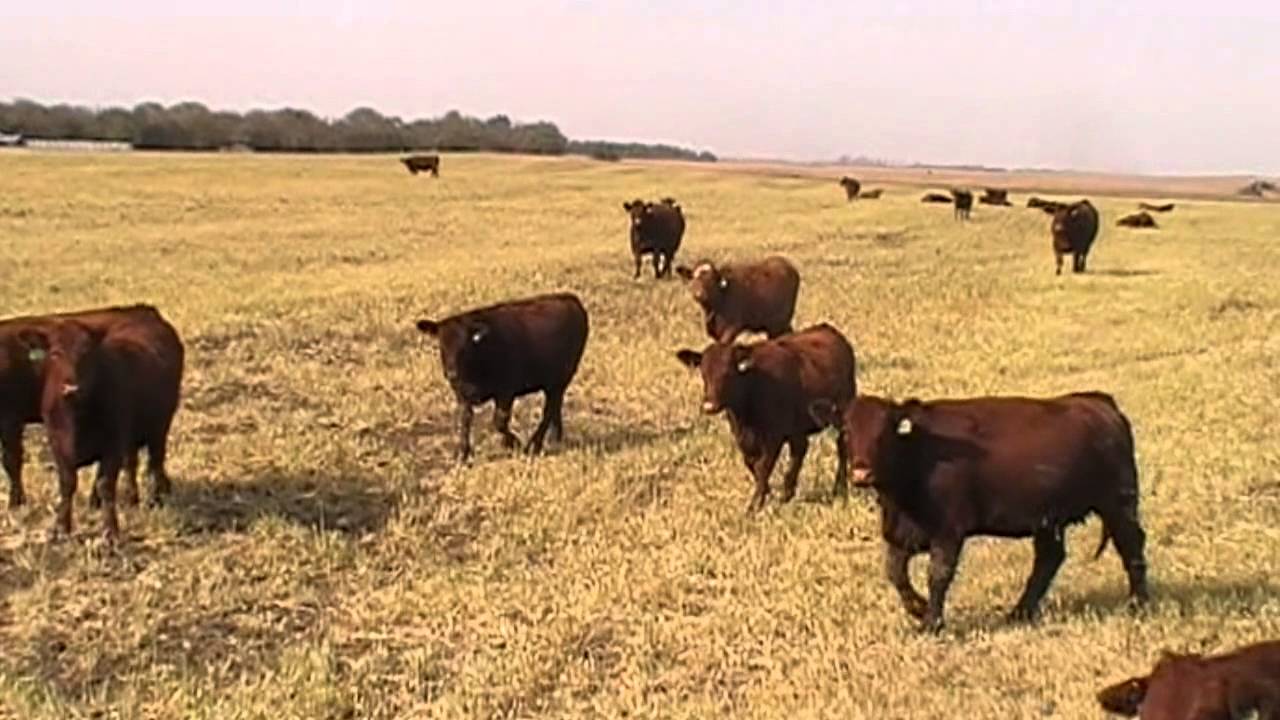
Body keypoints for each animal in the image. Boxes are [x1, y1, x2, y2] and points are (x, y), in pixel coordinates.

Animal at [11, 309, 185, 542]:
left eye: (87, 353)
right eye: (55, 353)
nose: (71, 388)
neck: (76, 418)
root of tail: (144, 312)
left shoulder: (112, 445)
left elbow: (105, 485)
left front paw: (110, 531)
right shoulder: (58, 444)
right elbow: (67, 483)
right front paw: (61, 527)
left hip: (160, 425)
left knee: (155, 461)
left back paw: (155, 498)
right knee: (132, 463)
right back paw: (131, 498)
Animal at [416, 293, 589, 462]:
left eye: (465, 347)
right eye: (442, 345)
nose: (451, 373)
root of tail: (570, 298)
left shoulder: (506, 391)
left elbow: (499, 421)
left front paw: (515, 444)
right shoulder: (462, 394)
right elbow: (465, 420)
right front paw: (463, 454)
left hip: (560, 379)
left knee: (548, 411)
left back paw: (534, 445)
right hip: (554, 384)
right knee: (555, 407)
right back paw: (554, 439)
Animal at [675, 323, 856, 513]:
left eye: (729, 372)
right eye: (703, 372)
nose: (709, 406)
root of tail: (827, 329)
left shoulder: (773, 437)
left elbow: (763, 466)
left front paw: (755, 504)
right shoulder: (743, 438)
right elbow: (751, 464)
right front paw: (766, 492)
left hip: (843, 409)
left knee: (841, 445)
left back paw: (839, 488)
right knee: (800, 449)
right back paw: (788, 492)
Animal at [817, 392, 1149, 632]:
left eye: (884, 432)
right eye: (846, 430)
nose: (861, 473)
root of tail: (1099, 404)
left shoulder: (948, 531)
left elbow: (938, 575)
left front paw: (932, 623)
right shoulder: (901, 533)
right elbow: (896, 574)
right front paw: (919, 609)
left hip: (1119, 504)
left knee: (1131, 548)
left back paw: (1139, 605)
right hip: (1049, 519)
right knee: (1049, 559)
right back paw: (1019, 613)